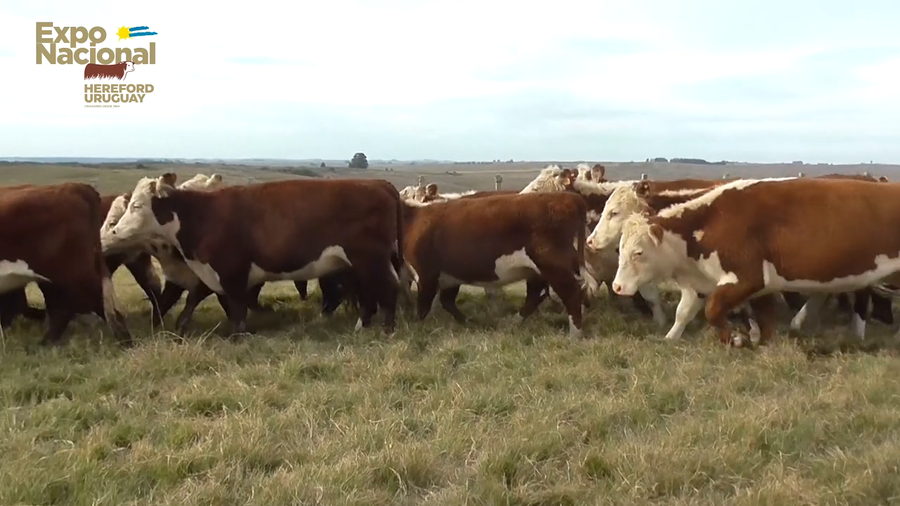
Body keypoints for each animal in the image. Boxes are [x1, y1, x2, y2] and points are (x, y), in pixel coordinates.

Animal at [101, 175, 404, 335]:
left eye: (137, 206)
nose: (115, 231)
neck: (202, 215)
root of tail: (376, 183)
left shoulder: (231, 272)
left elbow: (237, 307)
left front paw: (239, 335)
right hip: (361, 264)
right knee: (370, 293)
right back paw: (362, 326)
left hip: (370, 259)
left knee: (388, 288)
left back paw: (387, 329)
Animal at [400, 191, 598, 337]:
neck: (411, 219)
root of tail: (569, 197)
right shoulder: (450, 276)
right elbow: (446, 301)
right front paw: (468, 322)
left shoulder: (425, 275)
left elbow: (423, 307)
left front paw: (419, 329)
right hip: (539, 270)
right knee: (536, 295)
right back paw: (514, 323)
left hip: (553, 266)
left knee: (571, 293)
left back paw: (575, 335)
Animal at [611, 177, 900, 347]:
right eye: (620, 249)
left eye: (638, 252)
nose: (617, 287)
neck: (709, 221)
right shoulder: (737, 285)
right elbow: (688, 311)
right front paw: (671, 338)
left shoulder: (746, 278)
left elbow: (713, 310)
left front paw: (735, 339)